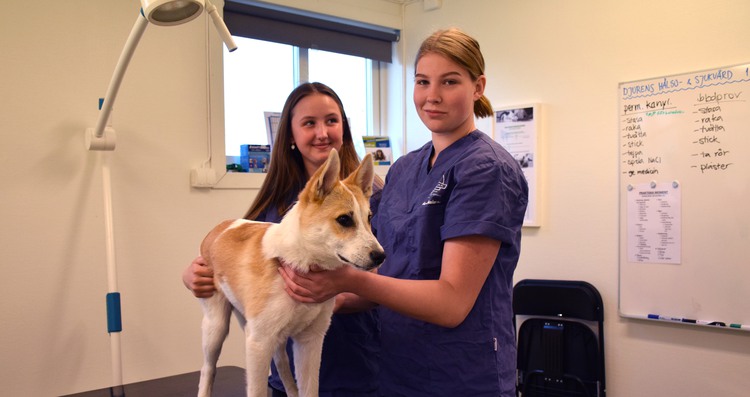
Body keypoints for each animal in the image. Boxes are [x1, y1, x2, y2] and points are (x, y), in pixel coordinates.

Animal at [197, 149, 384, 396]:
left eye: (369, 218)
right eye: (344, 219)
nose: (381, 256)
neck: (298, 260)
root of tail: (220, 227)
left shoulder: (310, 342)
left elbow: (309, 389)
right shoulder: (258, 343)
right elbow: (256, 390)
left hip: (276, 341)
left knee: (282, 366)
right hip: (216, 328)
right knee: (208, 370)